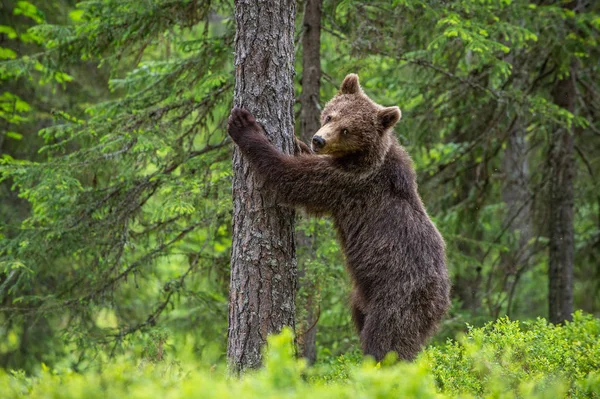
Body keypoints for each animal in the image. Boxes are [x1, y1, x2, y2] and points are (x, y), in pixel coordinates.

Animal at [227, 73, 448, 360]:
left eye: (347, 130)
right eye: (331, 115)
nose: (318, 140)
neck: (360, 157)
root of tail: (443, 300)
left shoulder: (347, 182)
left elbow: (292, 177)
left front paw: (244, 125)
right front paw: (295, 141)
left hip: (400, 297)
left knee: (386, 341)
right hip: (363, 297)